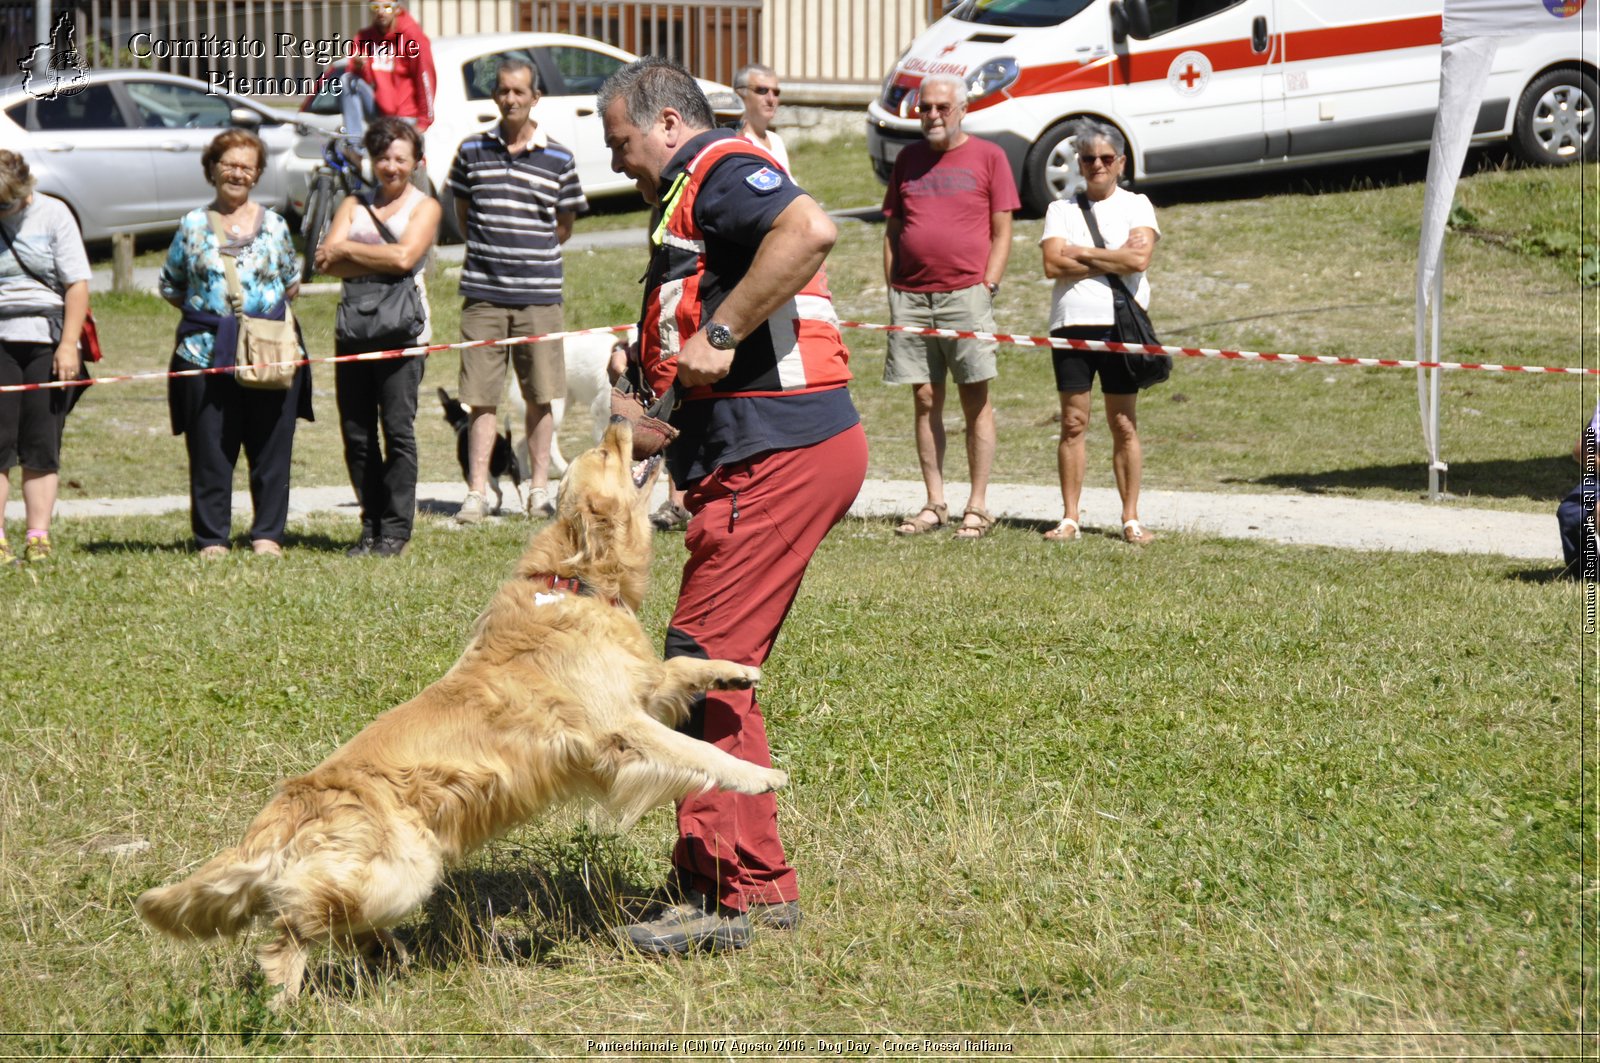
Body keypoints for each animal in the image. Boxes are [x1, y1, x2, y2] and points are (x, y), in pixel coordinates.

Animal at [136, 419, 780, 998]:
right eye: (605, 452)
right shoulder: (619, 727)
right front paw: (758, 774)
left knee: (331, 919)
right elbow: (697, 751)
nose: (622, 418)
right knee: (293, 924)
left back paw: (383, 956)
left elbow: (683, 668)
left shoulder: (641, 690)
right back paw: (285, 995)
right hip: (402, 870)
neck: (573, 582)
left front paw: (736, 670)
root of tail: (287, 808)